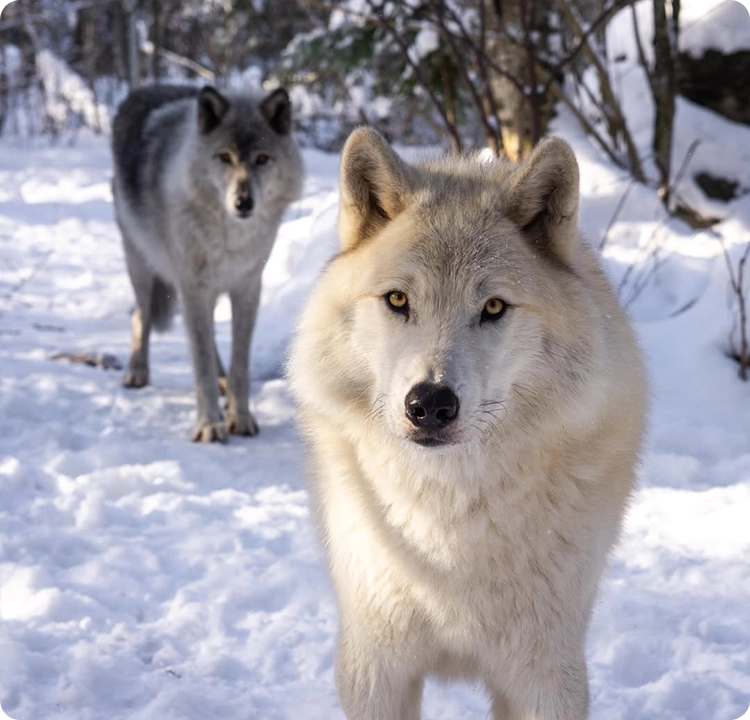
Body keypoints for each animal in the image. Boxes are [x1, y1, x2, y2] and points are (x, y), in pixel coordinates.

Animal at [112, 84, 303, 442]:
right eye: (224, 157)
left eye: (262, 159)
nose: (243, 202)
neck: (230, 239)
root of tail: (140, 90)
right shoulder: (194, 289)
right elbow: (200, 363)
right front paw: (209, 424)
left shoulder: (246, 288)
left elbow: (240, 364)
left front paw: (240, 417)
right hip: (140, 264)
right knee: (141, 316)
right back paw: (137, 372)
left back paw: (222, 378)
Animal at [287, 128, 648, 719]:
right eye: (397, 299)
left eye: (494, 307)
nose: (430, 404)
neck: (447, 525)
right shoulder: (375, 669)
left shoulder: (545, 675)